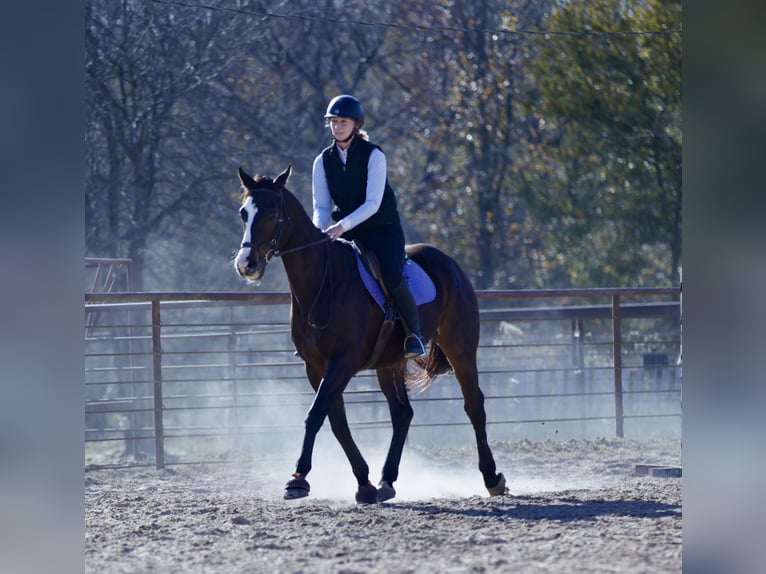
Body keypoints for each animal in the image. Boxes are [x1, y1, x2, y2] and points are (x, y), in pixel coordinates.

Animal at [233, 165, 507, 503]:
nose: (246, 264)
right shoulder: (316, 367)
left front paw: (298, 478)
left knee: (474, 406)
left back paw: (492, 477)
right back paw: (386, 480)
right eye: (244, 213)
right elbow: (336, 421)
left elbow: (315, 415)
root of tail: (451, 266)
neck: (324, 283)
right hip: (389, 364)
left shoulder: (342, 362)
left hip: (461, 350)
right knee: (402, 414)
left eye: (271, 212)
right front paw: (364, 482)